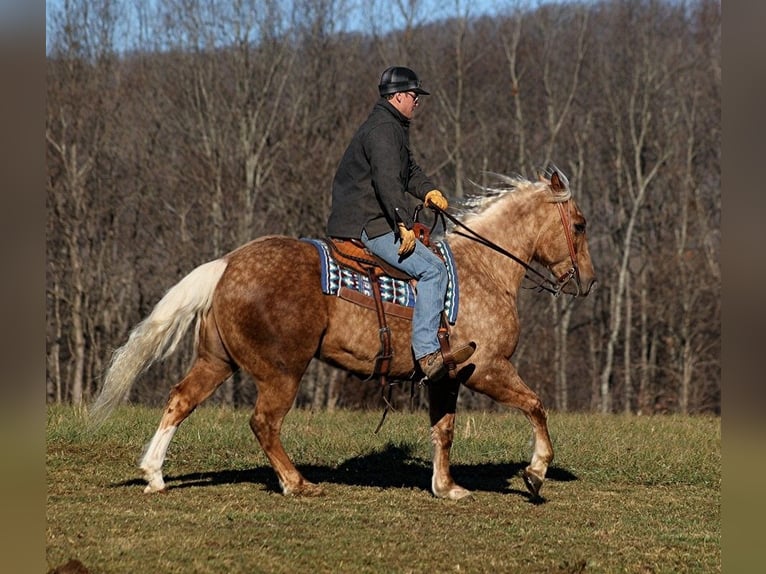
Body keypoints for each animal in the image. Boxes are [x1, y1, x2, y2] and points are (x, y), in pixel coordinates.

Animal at [90, 165, 596, 500]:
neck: (484, 270)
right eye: (579, 224)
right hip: (281, 372)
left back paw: (154, 474)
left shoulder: (447, 376)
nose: (588, 281)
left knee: (180, 400)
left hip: (217, 360)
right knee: (263, 422)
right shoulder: (486, 367)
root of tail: (227, 263)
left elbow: (444, 430)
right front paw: (535, 473)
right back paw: (296, 483)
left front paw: (447, 487)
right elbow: (535, 405)